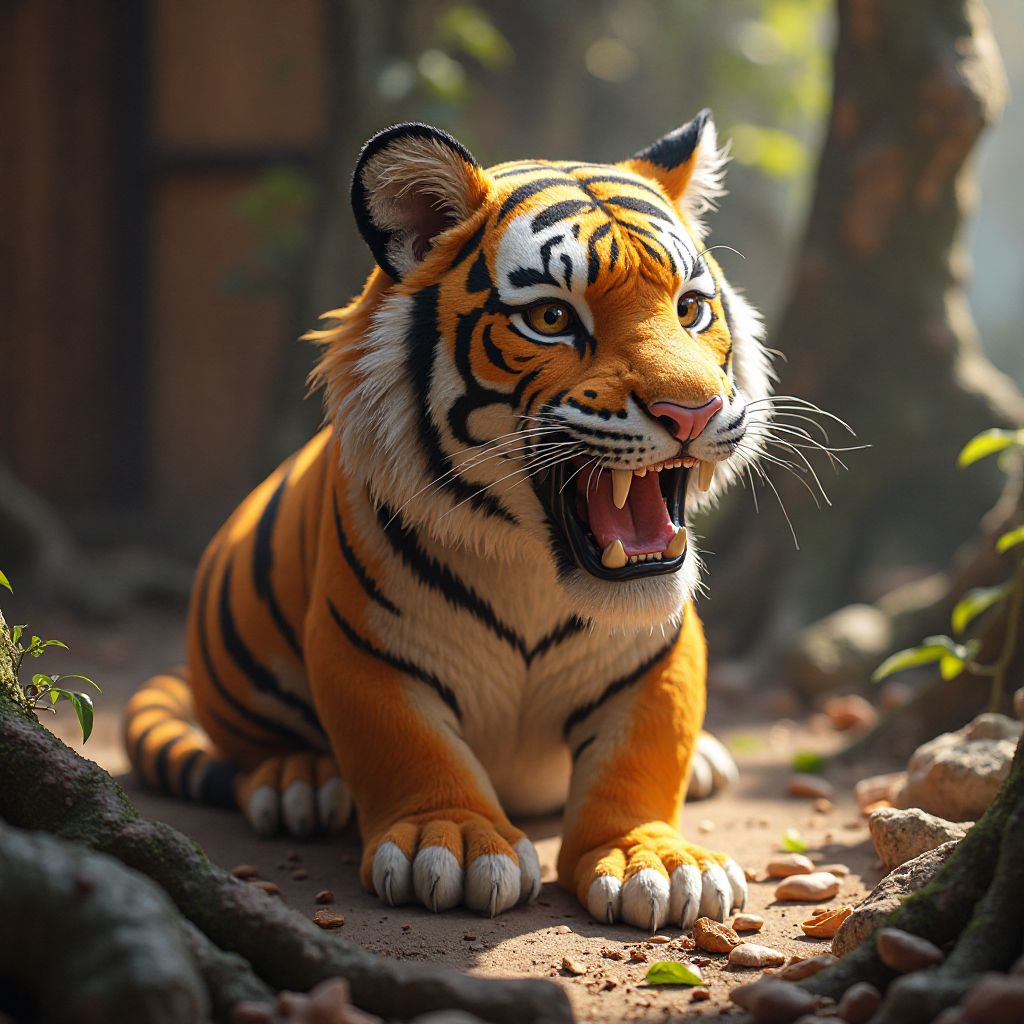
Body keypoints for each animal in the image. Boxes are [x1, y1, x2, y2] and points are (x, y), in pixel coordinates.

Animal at [124, 110, 776, 931]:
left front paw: (650, 857)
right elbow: (409, 744)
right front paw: (456, 843)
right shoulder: (362, 645)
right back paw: (297, 780)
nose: (692, 412)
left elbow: (645, 750)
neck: (538, 573)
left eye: (690, 308)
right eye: (553, 317)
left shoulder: (660, 652)